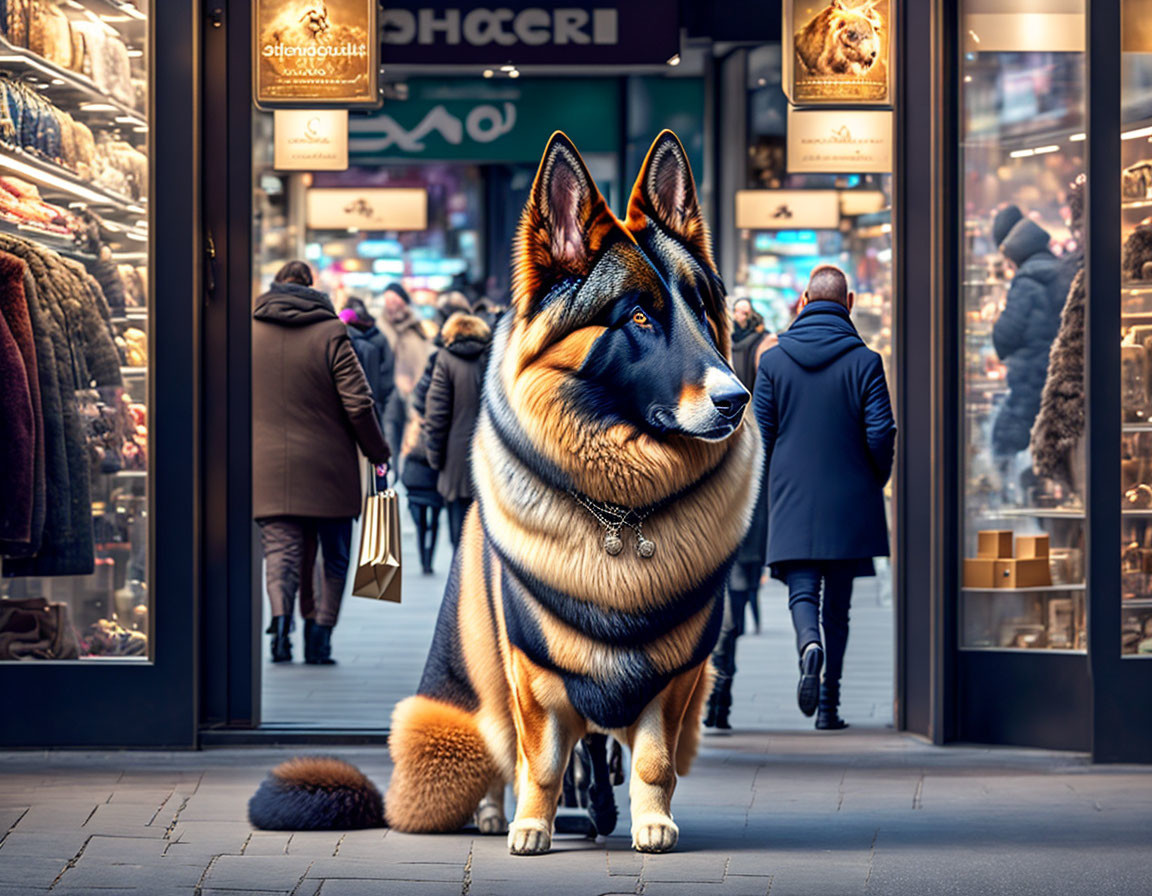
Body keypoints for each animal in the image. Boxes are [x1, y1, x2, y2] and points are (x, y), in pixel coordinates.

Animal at [249, 130, 755, 852]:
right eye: (638, 318)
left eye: (705, 313)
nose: (736, 400)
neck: (620, 509)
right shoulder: (531, 667)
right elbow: (538, 758)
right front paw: (532, 826)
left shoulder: (676, 672)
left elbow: (651, 759)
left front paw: (649, 822)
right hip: (466, 690)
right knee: (495, 751)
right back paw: (494, 813)